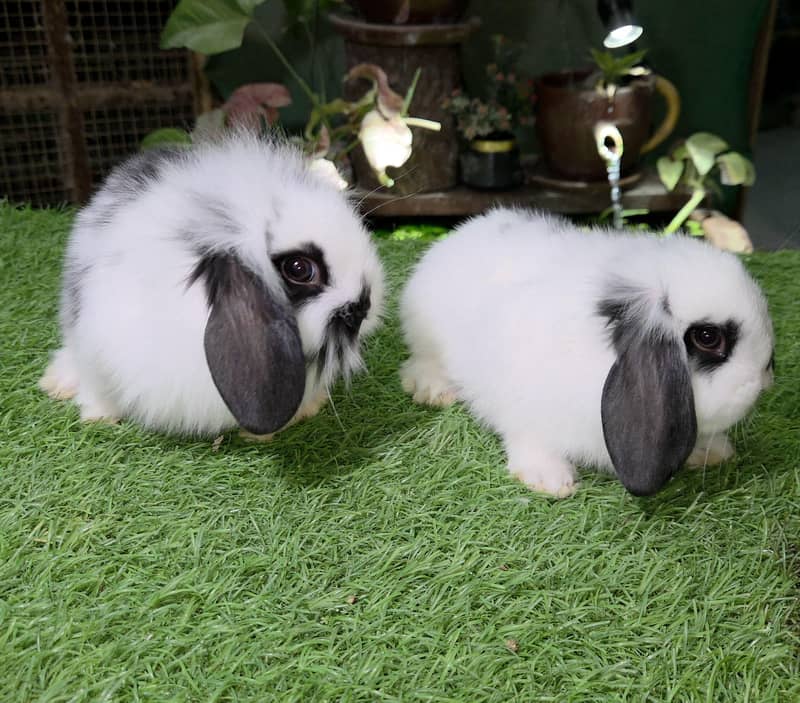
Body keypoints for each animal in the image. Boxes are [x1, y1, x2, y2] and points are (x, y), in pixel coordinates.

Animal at [399, 208, 775, 497]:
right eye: (708, 337)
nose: (764, 379)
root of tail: (464, 232)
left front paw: (713, 450)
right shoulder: (522, 405)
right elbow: (529, 439)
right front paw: (549, 480)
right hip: (426, 337)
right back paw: (434, 390)